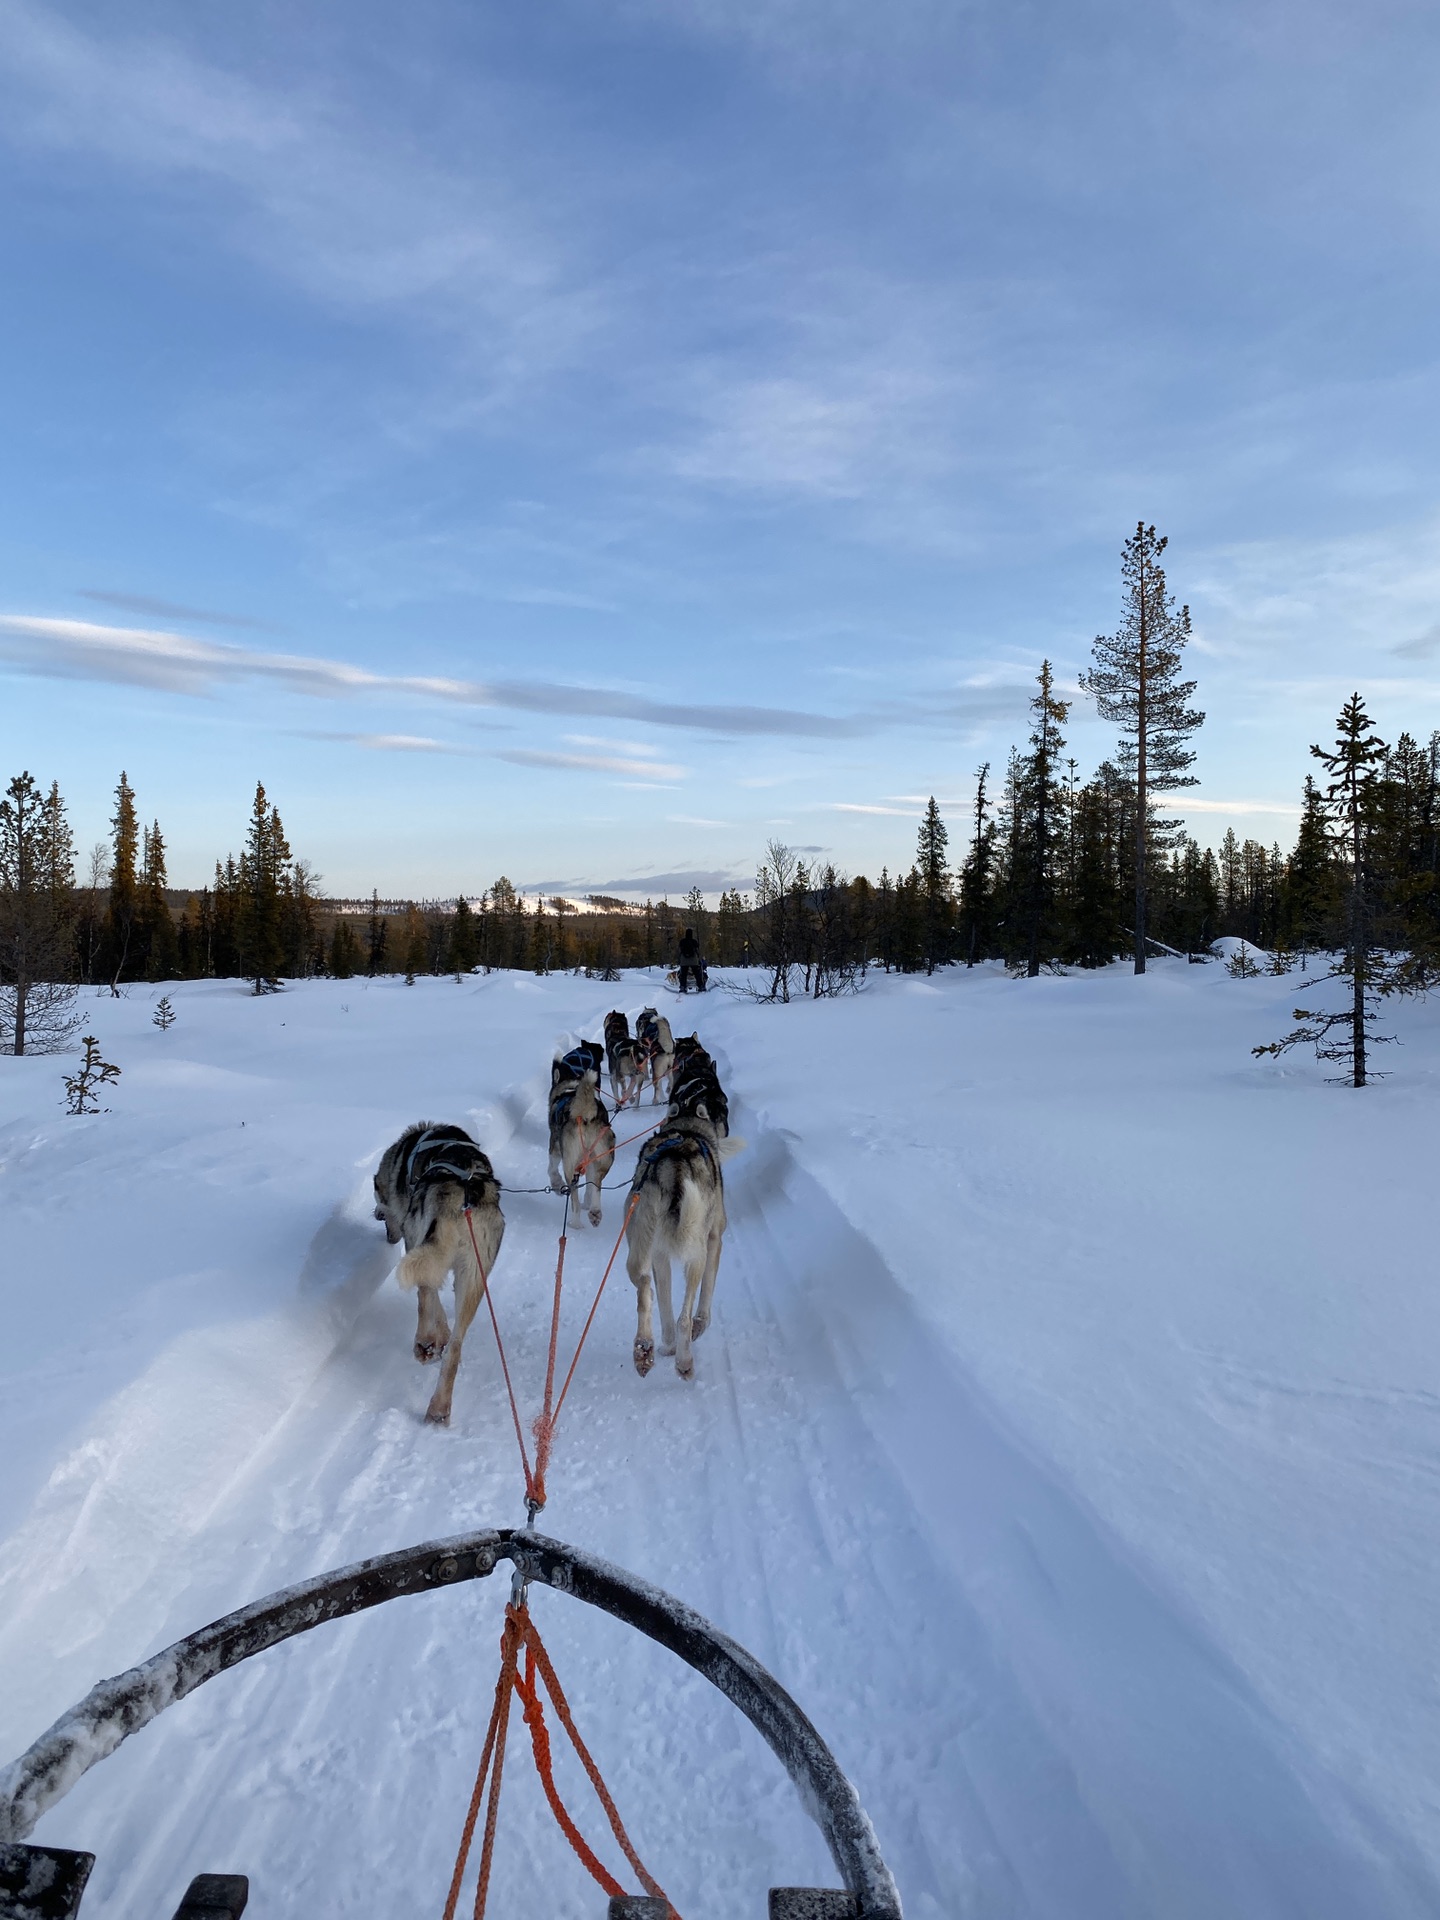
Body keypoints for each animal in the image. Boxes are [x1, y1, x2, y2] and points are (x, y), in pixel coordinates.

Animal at [372, 1121, 506, 1428]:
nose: (378, 1216)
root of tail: (463, 1193)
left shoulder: (414, 1240)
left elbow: (431, 1300)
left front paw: (435, 1338)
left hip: (423, 1243)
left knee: (425, 1296)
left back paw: (424, 1345)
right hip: (475, 1277)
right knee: (456, 1347)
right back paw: (439, 1407)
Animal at [549, 1044, 618, 1221]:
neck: (570, 1088)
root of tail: (584, 1114)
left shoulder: (555, 1147)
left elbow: (551, 1168)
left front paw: (556, 1184)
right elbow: (589, 1182)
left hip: (570, 1162)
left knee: (573, 1195)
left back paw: (574, 1221)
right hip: (604, 1157)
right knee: (596, 1182)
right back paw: (594, 1210)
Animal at [625, 1082, 733, 1382]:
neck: (686, 1128)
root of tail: (673, 1164)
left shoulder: (659, 1256)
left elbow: (664, 1304)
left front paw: (668, 1346)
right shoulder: (714, 1241)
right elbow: (705, 1300)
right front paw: (699, 1326)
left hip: (639, 1243)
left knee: (646, 1289)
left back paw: (645, 1349)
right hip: (696, 1253)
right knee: (683, 1317)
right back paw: (684, 1360)